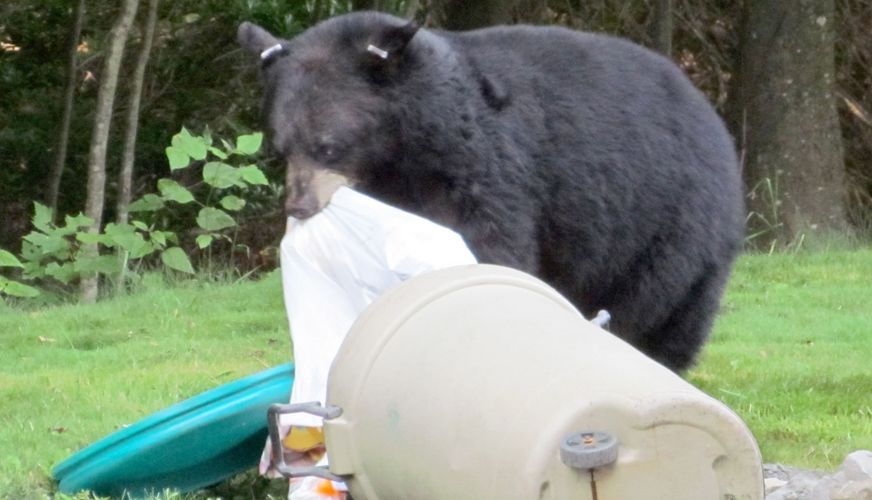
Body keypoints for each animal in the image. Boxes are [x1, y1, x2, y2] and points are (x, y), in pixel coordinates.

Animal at [237, 11, 744, 372]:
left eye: (328, 146)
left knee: (661, 311)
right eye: (280, 146)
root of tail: (711, 116)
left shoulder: (485, 164)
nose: (300, 204)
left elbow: (490, 242)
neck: (408, 147)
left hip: (667, 224)